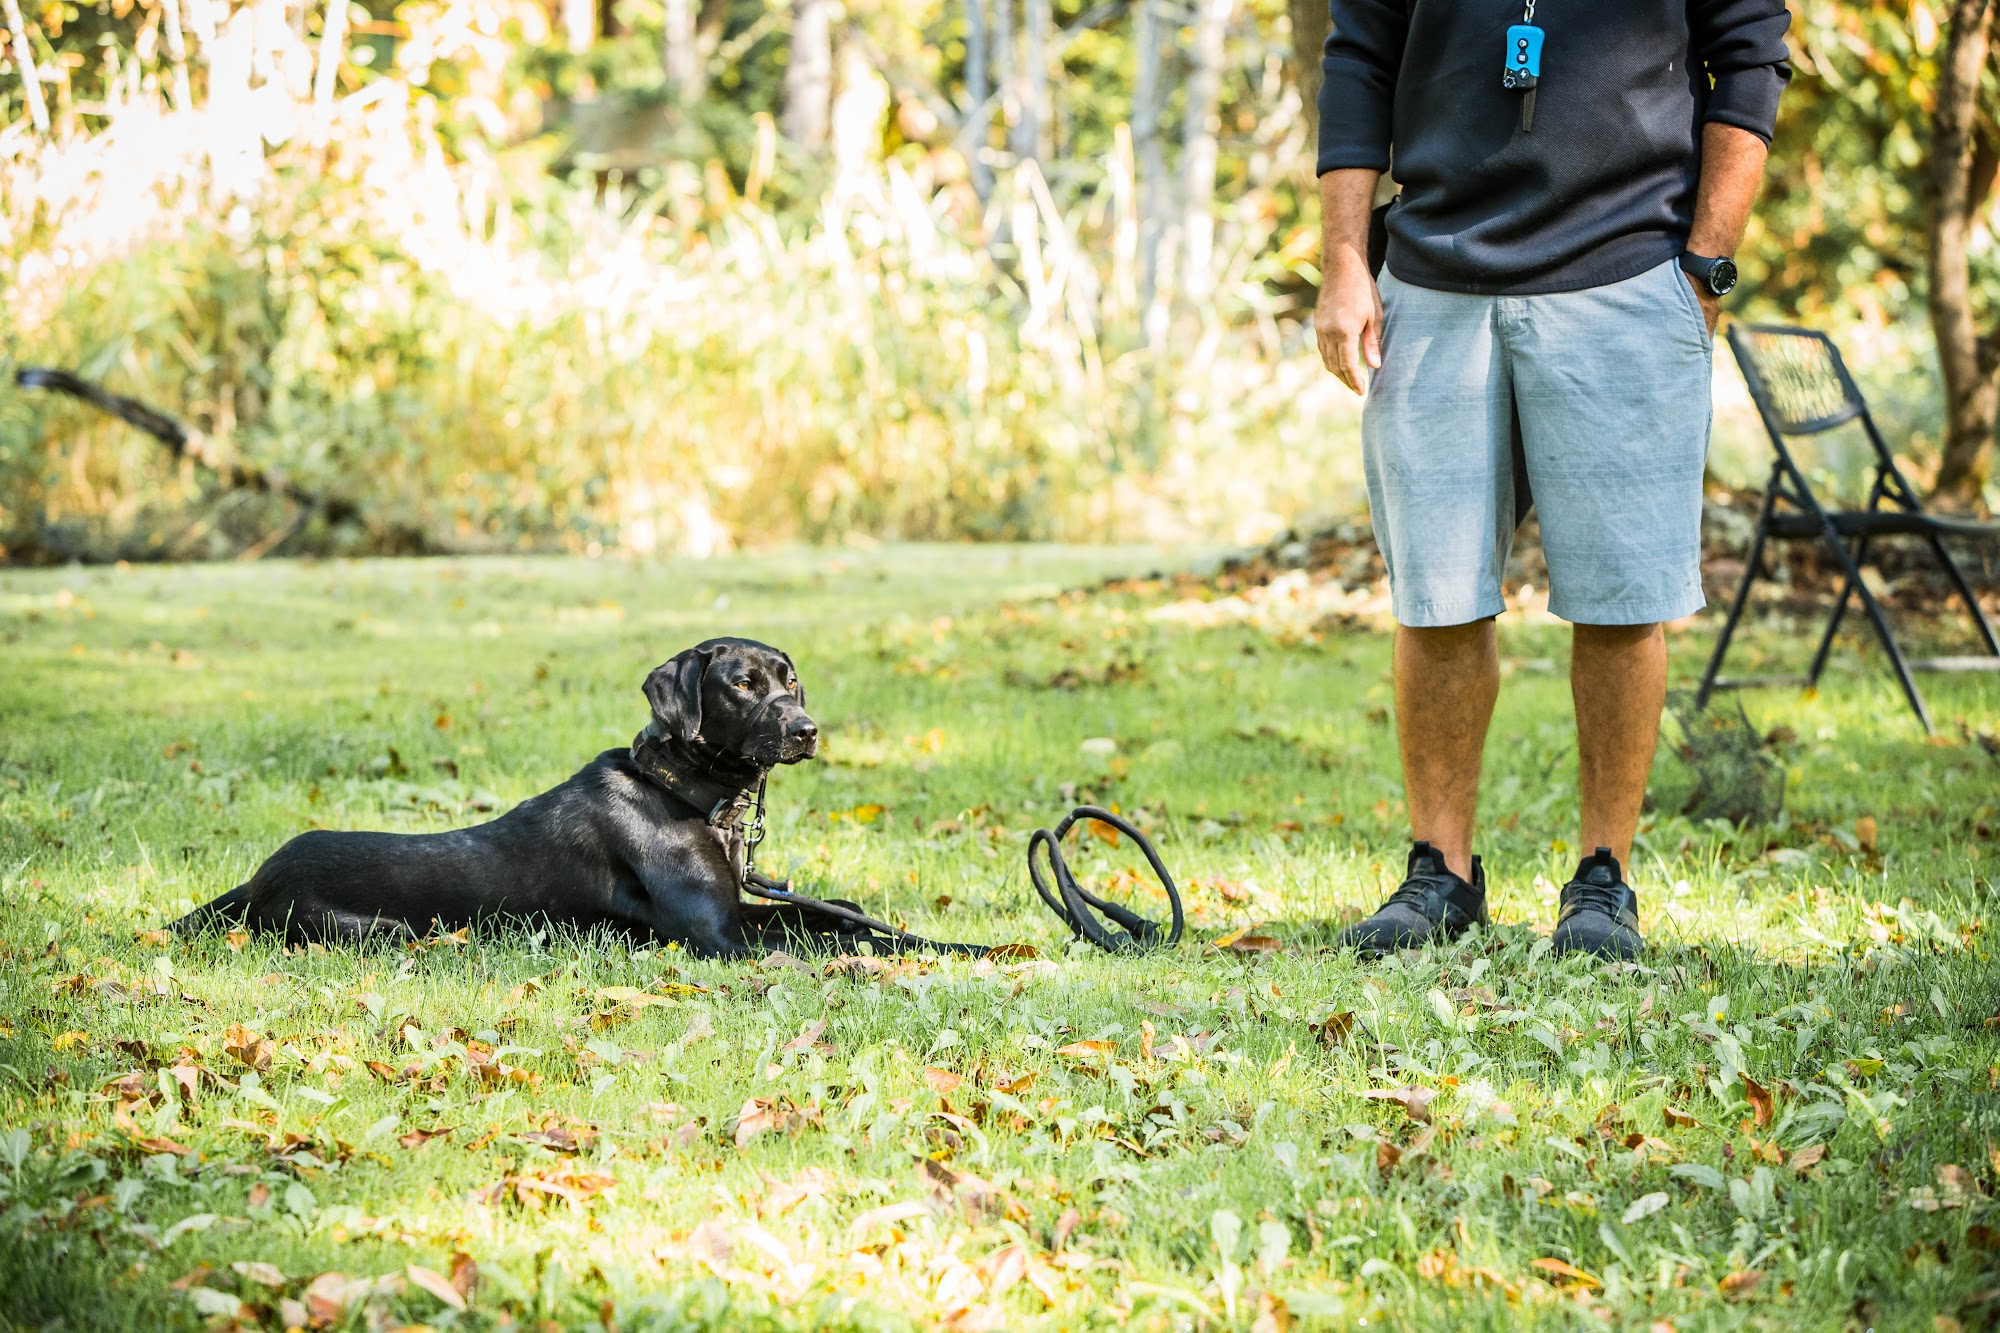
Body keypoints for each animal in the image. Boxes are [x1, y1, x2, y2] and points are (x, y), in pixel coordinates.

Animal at [166, 636, 828, 956]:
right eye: (742, 684)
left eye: (791, 680)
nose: (807, 729)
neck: (683, 791)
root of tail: (256, 879)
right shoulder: (717, 936)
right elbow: (816, 948)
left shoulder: (739, 910)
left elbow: (825, 917)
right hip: (384, 931)